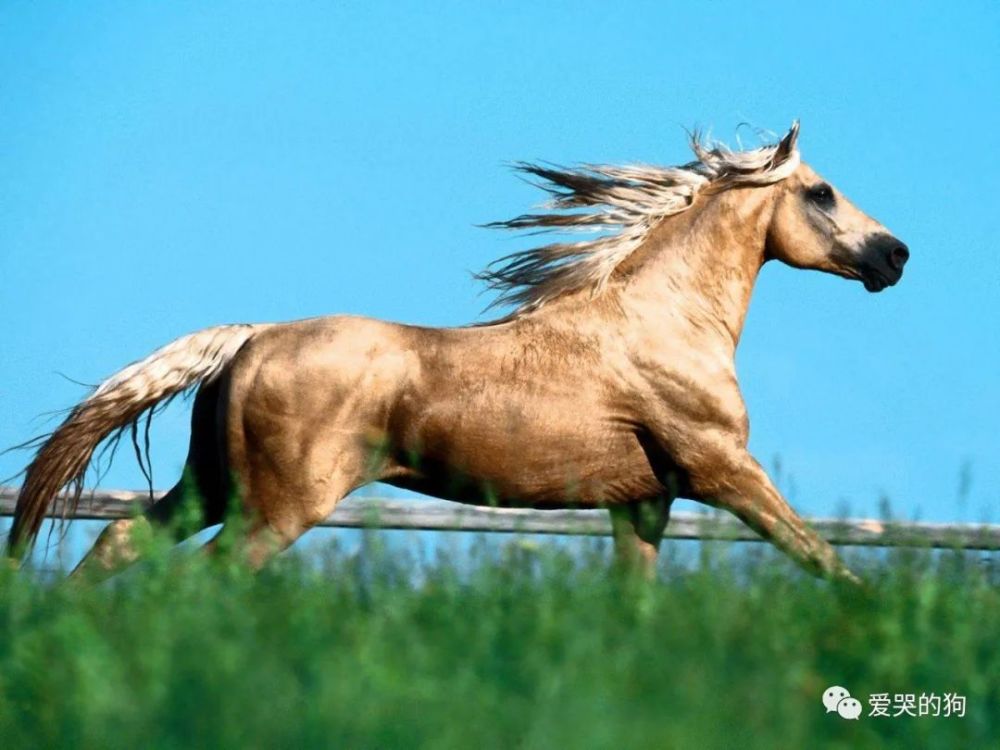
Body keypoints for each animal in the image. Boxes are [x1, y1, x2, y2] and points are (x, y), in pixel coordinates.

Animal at [7, 122, 909, 581]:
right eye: (822, 193)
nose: (895, 255)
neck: (660, 324)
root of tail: (250, 336)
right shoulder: (724, 472)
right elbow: (828, 563)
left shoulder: (644, 504)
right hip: (279, 506)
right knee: (204, 579)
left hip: (211, 487)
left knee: (117, 544)